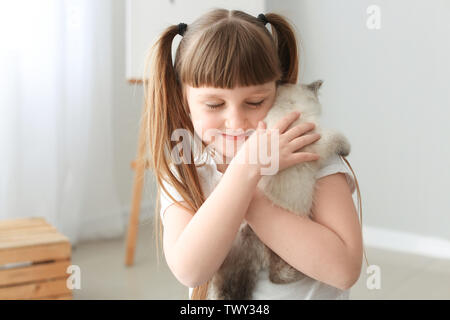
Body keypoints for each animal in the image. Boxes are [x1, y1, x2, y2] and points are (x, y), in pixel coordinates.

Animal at [207, 80, 352, 300]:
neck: (288, 109)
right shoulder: (316, 141)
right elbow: (336, 136)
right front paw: (346, 150)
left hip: (231, 260)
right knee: (277, 275)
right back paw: (303, 274)